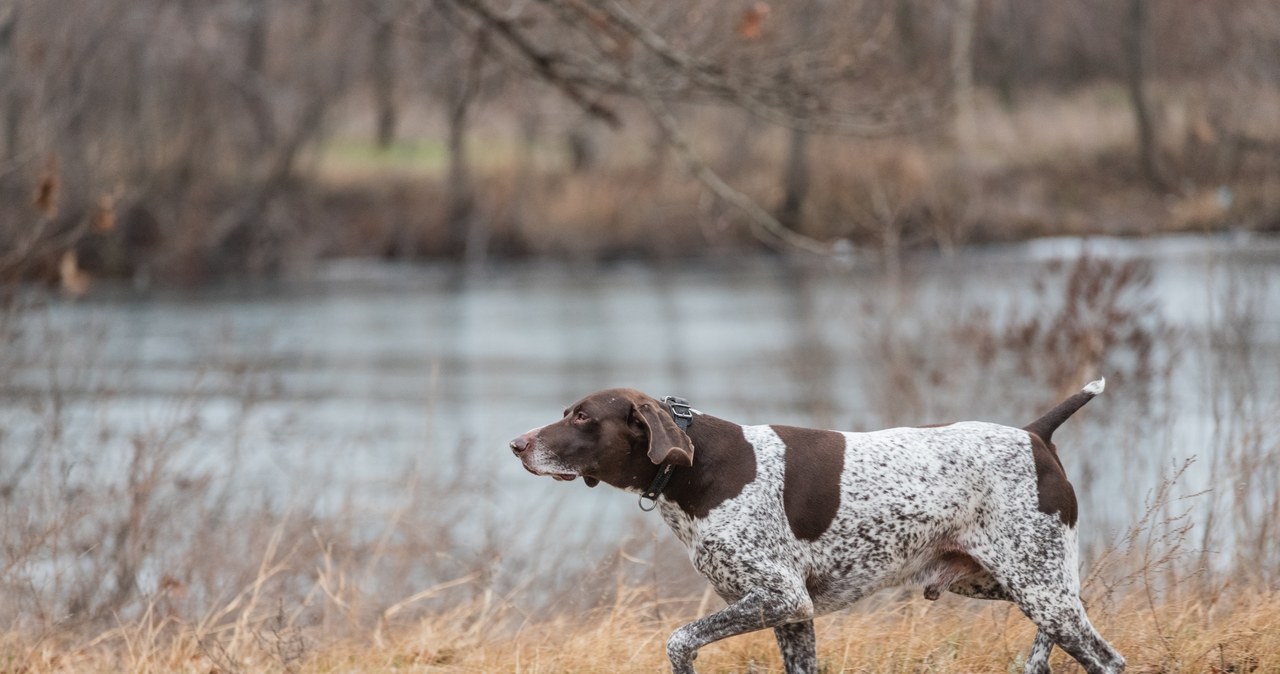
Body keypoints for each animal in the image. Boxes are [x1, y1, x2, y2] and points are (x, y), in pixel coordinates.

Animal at [506, 383, 1121, 670]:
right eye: (567, 412)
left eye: (583, 417)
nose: (515, 444)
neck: (697, 465)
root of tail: (1034, 433)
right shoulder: (791, 617)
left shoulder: (780, 597)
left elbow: (679, 640)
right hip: (1011, 584)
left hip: (1039, 586)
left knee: (1106, 659)